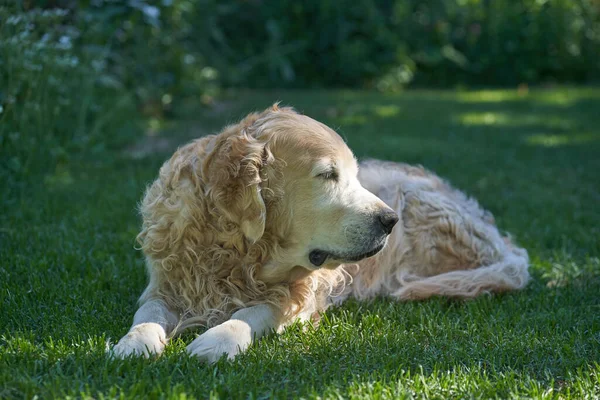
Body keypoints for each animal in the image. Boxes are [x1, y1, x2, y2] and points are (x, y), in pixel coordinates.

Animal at [112, 104, 528, 362]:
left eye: (354, 175)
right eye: (328, 175)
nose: (390, 221)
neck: (236, 250)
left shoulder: (298, 298)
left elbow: (253, 312)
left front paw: (219, 339)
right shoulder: (164, 284)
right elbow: (147, 313)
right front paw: (133, 343)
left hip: (417, 201)